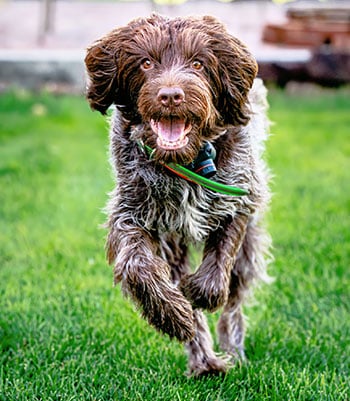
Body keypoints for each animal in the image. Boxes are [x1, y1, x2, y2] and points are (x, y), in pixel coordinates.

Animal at [85, 13, 270, 376]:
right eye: (146, 63)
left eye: (198, 63)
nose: (171, 96)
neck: (187, 162)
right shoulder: (133, 213)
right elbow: (137, 267)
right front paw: (174, 316)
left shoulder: (241, 197)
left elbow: (219, 266)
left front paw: (197, 292)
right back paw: (204, 359)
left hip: (248, 244)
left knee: (234, 296)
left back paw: (231, 348)